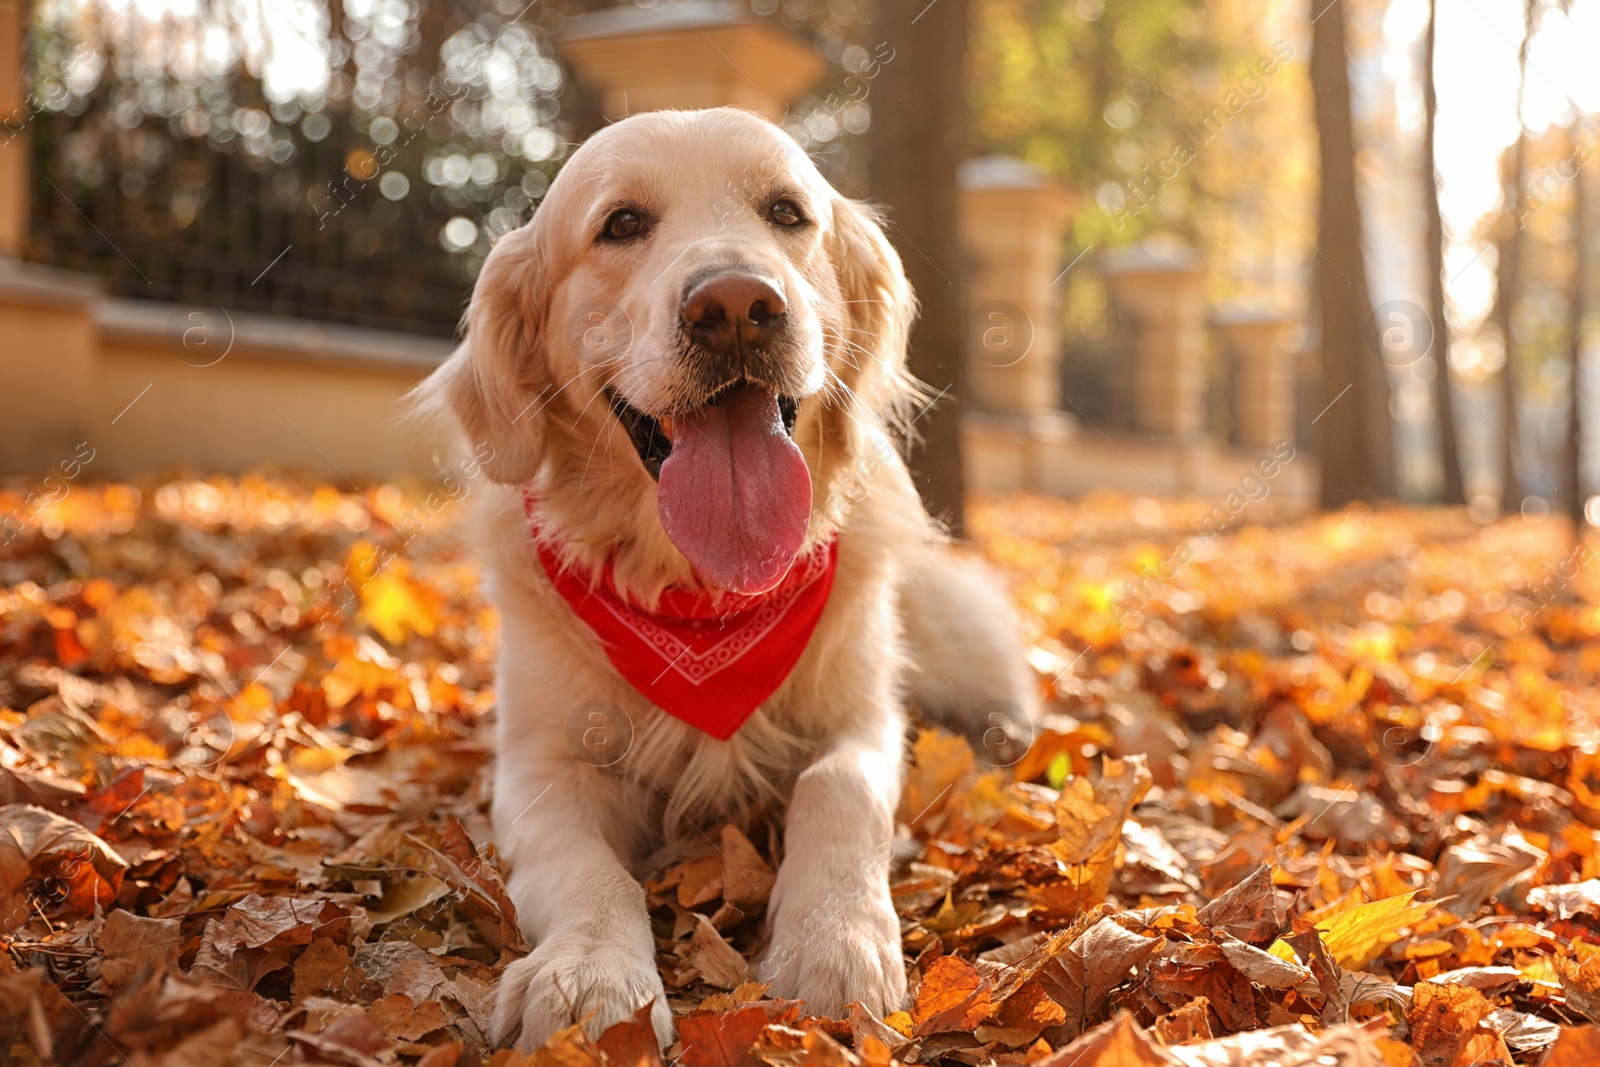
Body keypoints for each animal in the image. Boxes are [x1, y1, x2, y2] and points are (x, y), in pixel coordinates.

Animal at [416, 106, 1036, 1049]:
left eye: (786, 212)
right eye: (621, 224)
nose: (738, 305)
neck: (702, 590)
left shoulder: (863, 720)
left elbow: (838, 790)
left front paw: (834, 943)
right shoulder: (539, 763)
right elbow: (585, 864)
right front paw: (590, 970)